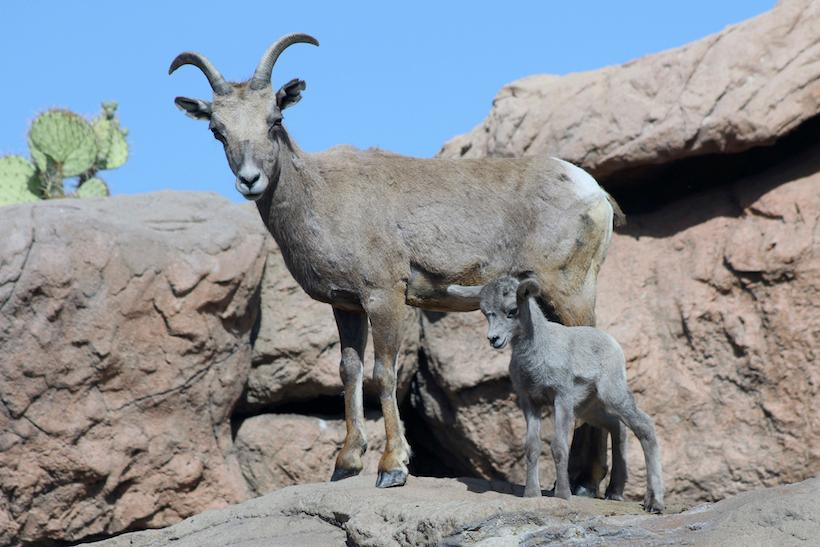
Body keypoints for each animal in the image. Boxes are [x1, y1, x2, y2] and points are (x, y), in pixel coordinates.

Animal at [169, 33, 625, 490]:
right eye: (217, 130)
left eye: (274, 118)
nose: (249, 180)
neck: (322, 197)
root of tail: (594, 192)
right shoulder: (347, 305)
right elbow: (350, 371)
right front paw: (346, 464)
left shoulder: (385, 298)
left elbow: (382, 374)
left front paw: (392, 467)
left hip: (570, 291)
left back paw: (586, 482)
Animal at [458, 275, 664, 512]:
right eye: (485, 312)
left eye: (512, 310)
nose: (494, 339)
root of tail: (613, 344)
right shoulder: (530, 402)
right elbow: (532, 446)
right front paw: (531, 494)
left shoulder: (561, 398)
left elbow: (559, 446)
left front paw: (563, 495)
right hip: (589, 407)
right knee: (617, 427)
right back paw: (614, 493)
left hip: (613, 395)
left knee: (644, 427)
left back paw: (654, 503)